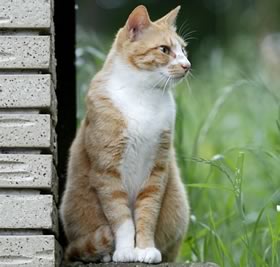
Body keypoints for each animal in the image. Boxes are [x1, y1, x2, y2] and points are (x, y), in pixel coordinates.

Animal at [60, 5, 191, 264]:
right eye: (164, 49)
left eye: (183, 50)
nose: (187, 65)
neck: (142, 94)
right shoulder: (107, 171)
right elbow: (121, 217)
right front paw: (125, 251)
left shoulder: (157, 170)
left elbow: (147, 214)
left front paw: (145, 249)